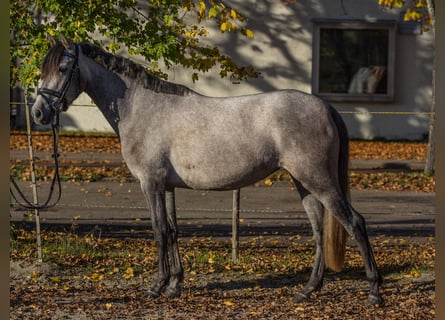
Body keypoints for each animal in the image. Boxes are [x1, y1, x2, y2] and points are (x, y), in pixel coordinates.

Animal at [31, 35, 384, 304]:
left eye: (63, 68)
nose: (38, 112)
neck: (142, 108)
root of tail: (325, 106)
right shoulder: (167, 186)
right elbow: (173, 230)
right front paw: (175, 285)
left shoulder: (151, 184)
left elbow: (159, 231)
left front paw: (157, 286)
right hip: (304, 182)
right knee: (318, 229)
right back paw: (308, 289)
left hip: (319, 180)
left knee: (354, 222)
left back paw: (374, 291)